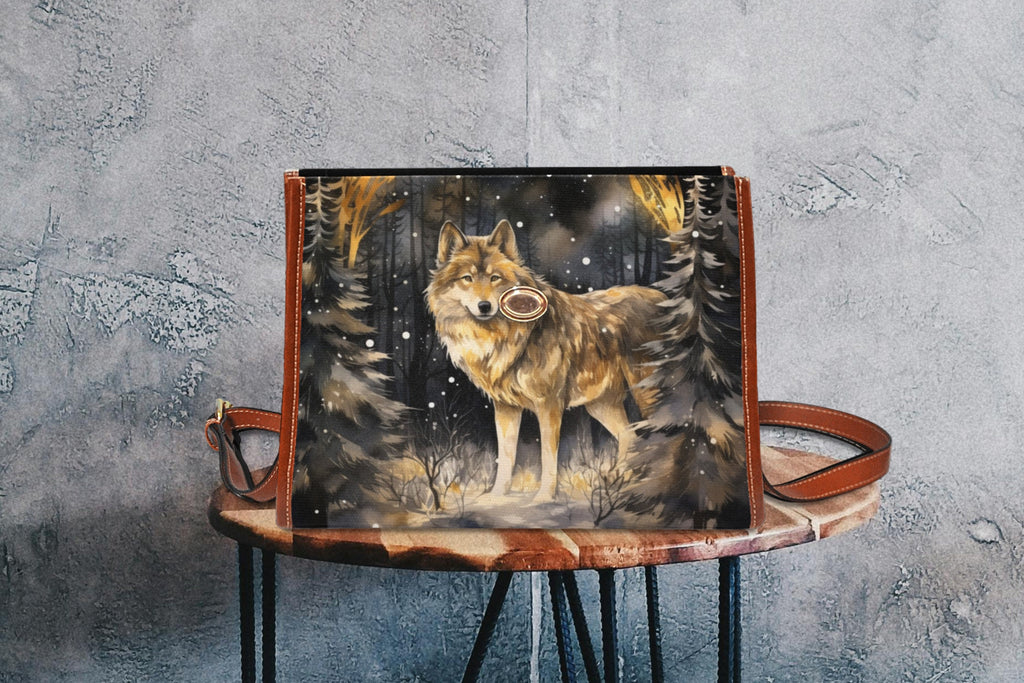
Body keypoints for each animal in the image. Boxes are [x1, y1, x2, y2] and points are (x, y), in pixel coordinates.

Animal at [426, 219, 667, 502]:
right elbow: (506, 457)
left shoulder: (549, 405)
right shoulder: (505, 407)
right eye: (467, 278)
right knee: (631, 437)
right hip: (599, 406)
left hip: (646, 393)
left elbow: (548, 456)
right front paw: (496, 495)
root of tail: (665, 299)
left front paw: (544, 497)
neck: (504, 337)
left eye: (495, 278)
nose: (484, 306)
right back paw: (618, 482)